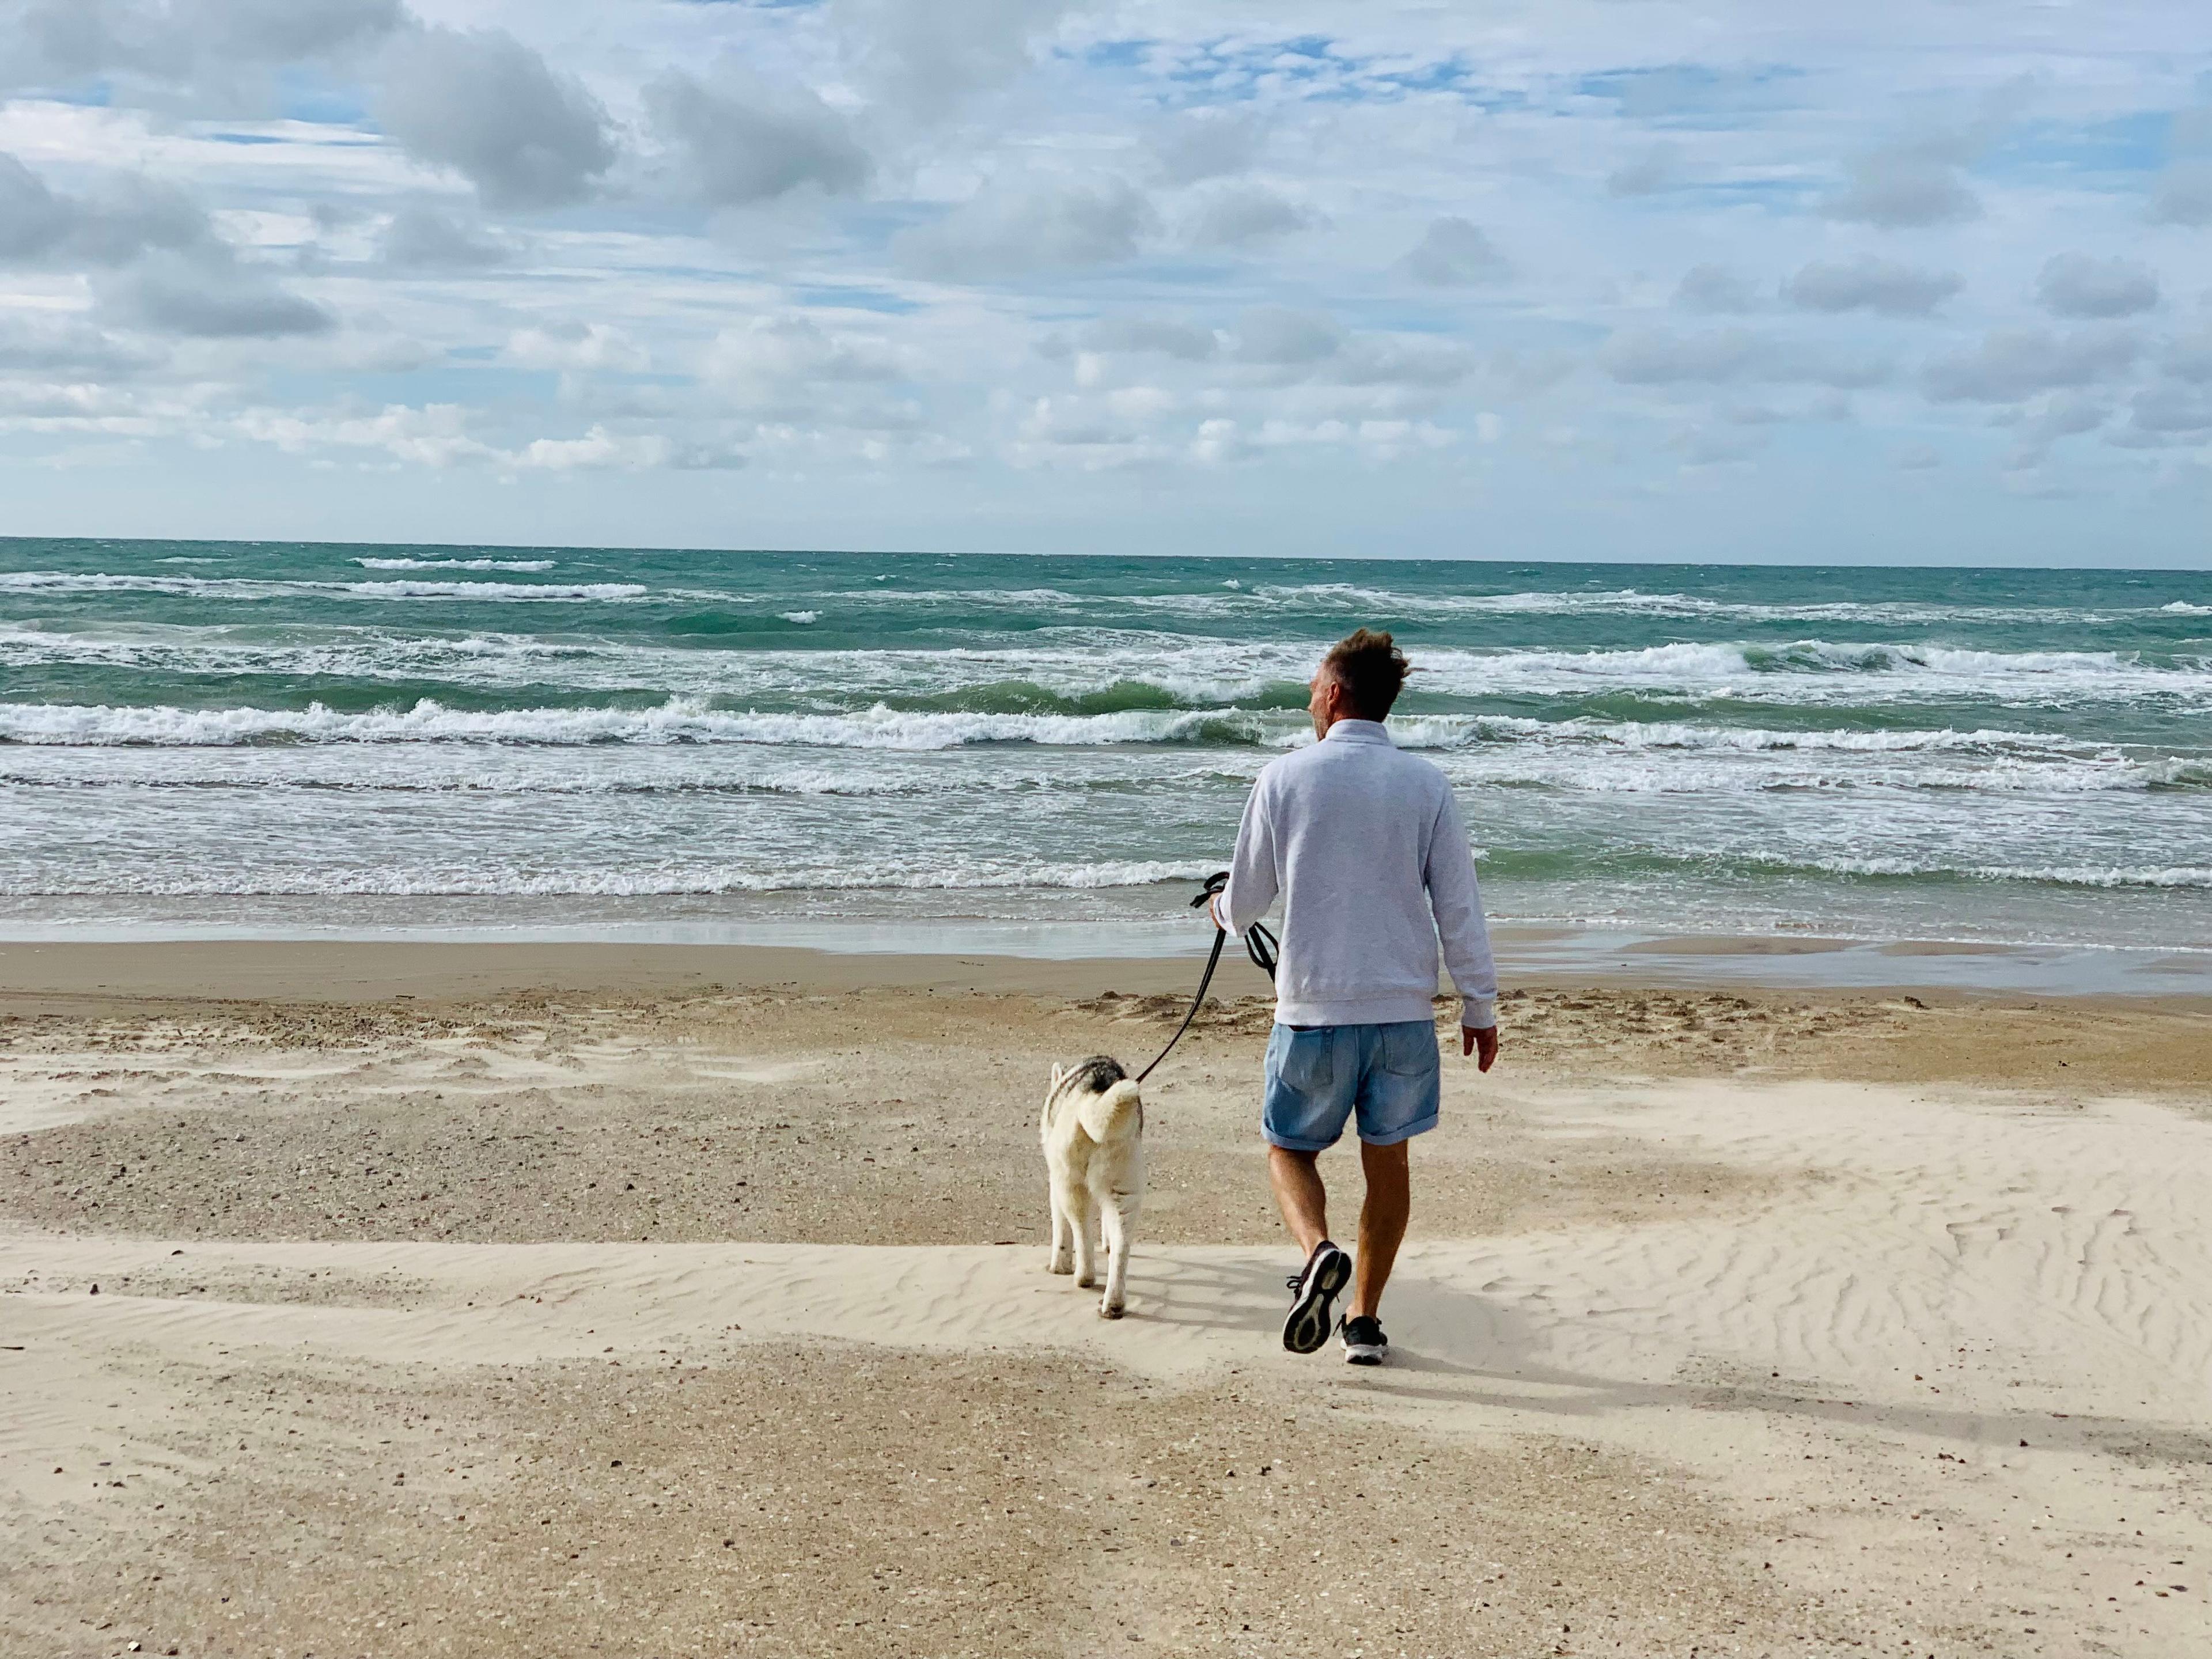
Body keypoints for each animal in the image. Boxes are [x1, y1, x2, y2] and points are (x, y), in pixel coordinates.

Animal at [1035, 1057, 1141, 1318]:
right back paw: (1114, 1302)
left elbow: (1061, 1231)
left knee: (1081, 1230)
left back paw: (1084, 1277)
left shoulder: (1056, 1182)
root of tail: (1095, 1092)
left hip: (1070, 1183)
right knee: (1122, 1243)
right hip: (1124, 1184)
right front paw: (1108, 1244)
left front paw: (1058, 1266)